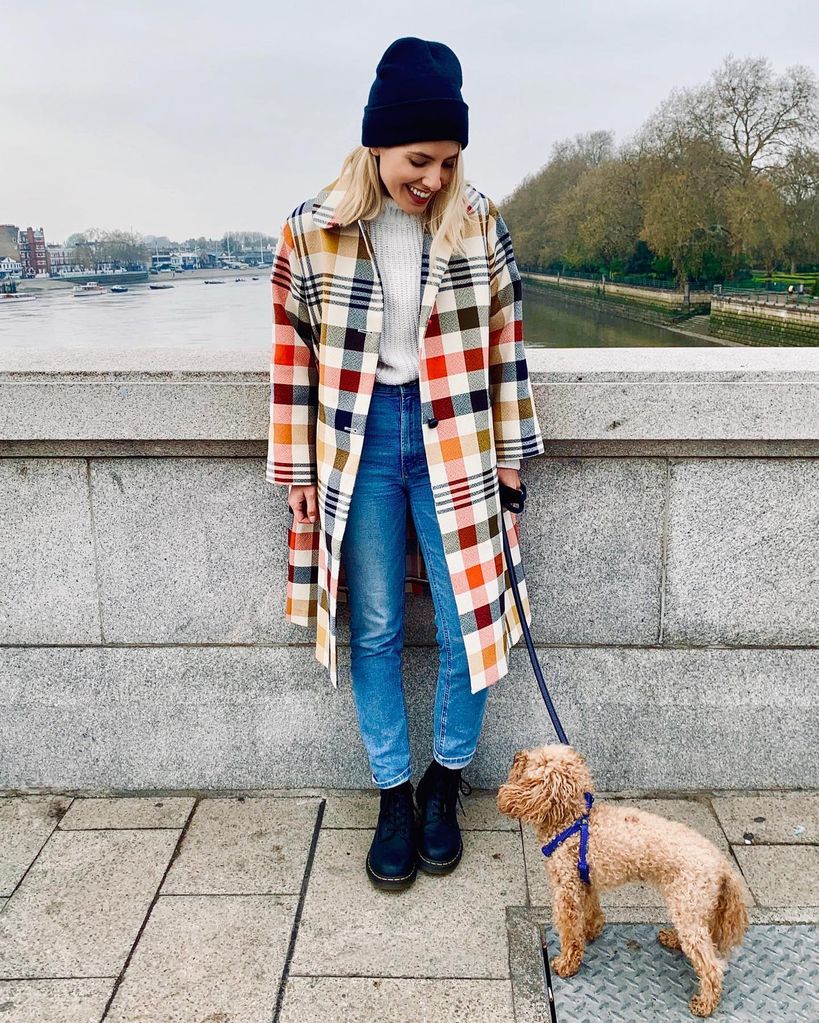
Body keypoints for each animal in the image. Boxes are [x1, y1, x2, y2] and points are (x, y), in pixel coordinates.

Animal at [494, 744, 752, 1014]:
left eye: (536, 762)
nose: (517, 756)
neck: (573, 821)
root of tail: (723, 865)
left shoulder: (566, 887)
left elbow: (569, 929)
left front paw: (567, 964)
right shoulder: (585, 880)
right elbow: (592, 911)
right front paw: (591, 931)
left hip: (688, 904)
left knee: (711, 964)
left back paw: (705, 1003)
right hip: (697, 906)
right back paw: (673, 939)